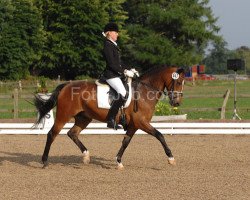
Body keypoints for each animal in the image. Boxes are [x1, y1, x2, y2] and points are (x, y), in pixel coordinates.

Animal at [34, 66, 185, 170]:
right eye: (178, 82)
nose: (177, 103)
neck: (144, 91)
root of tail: (66, 86)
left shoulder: (134, 125)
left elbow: (125, 142)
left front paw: (118, 162)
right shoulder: (141, 122)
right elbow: (160, 135)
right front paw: (171, 158)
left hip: (84, 118)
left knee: (72, 133)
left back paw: (86, 156)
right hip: (64, 115)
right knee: (52, 134)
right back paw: (45, 161)